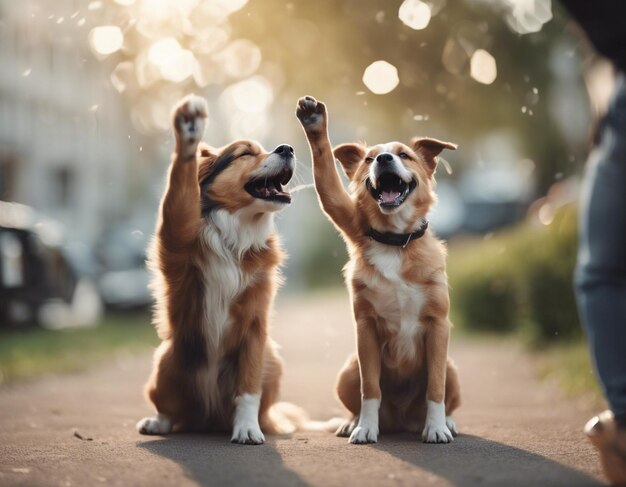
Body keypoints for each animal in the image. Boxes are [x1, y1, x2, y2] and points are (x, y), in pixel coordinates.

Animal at [138, 95, 298, 446]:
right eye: (246, 153)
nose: (288, 148)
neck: (235, 235)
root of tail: (207, 419)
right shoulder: (177, 240)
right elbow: (179, 196)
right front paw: (189, 131)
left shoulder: (254, 330)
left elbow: (248, 390)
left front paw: (248, 428)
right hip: (167, 359)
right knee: (168, 409)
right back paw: (158, 422)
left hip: (273, 359)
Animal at [294, 95, 460, 446]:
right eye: (368, 159)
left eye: (404, 155)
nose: (383, 158)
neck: (396, 242)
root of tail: (401, 420)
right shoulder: (366, 330)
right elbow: (370, 388)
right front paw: (365, 428)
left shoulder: (439, 328)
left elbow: (435, 388)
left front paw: (437, 428)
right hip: (348, 368)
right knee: (359, 395)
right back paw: (352, 422)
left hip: (452, 366)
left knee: (445, 391)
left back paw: (447, 422)